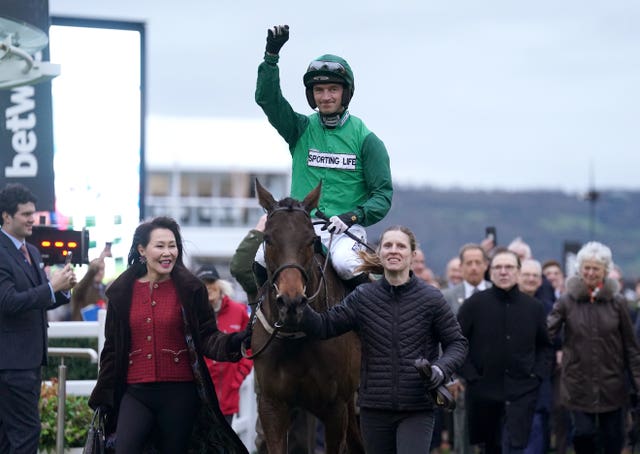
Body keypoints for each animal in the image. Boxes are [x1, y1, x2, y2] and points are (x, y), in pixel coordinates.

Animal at [251, 181, 364, 454]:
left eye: (312, 239)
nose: (291, 302)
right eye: (267, 239)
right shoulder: (271, 405)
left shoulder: (336, 409)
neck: (295, 336)